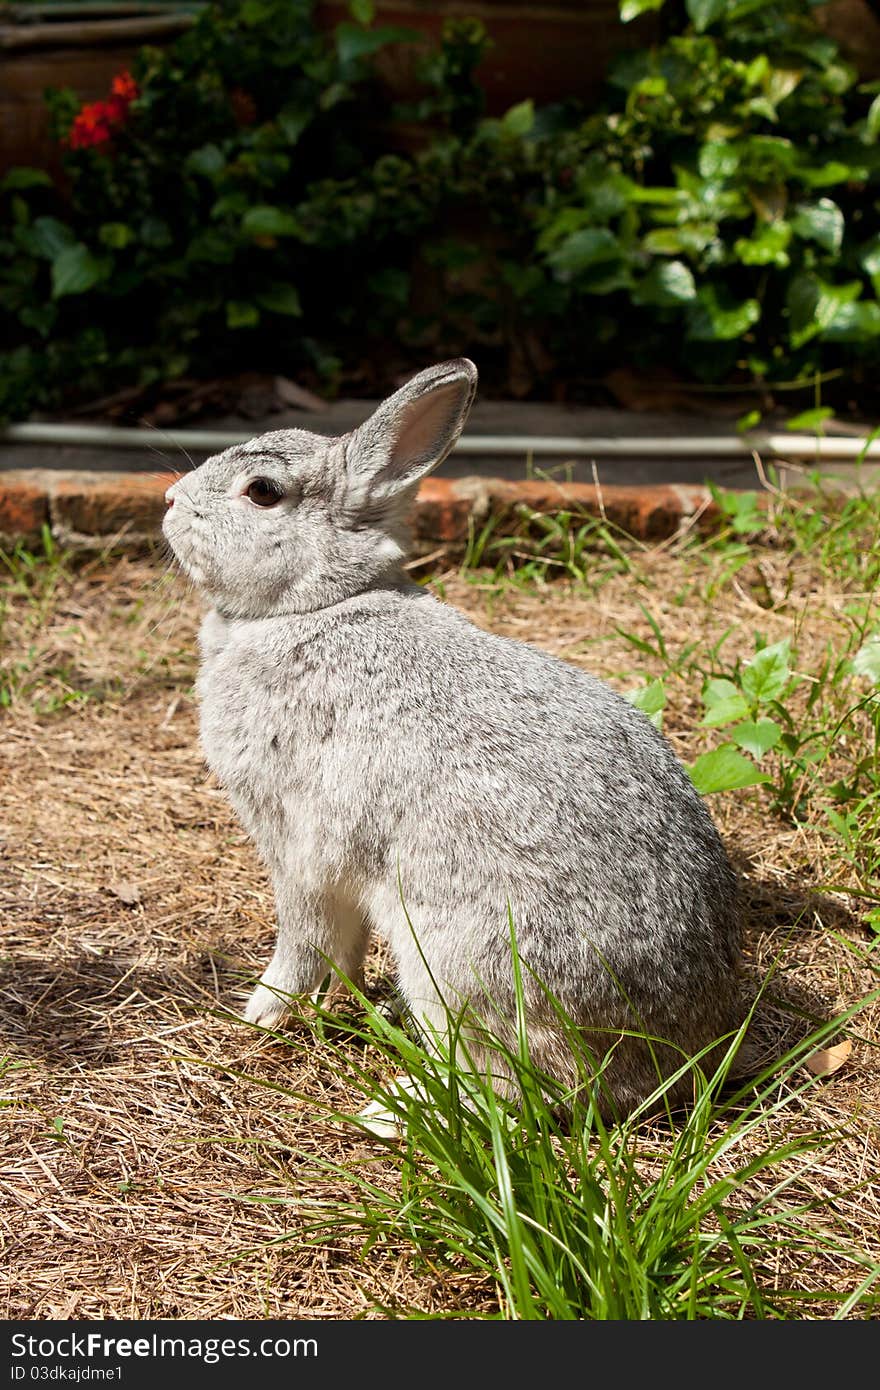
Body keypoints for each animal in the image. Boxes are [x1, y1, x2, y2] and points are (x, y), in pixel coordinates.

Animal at [161, 361, 745, 1128]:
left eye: (262, 492)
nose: (168, 502)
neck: (316, 606)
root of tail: (671, 1058)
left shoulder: (297, 844)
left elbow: (304, 936)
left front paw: (263, 1011)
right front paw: (340, 1004)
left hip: (458, 966)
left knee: (519, 1089)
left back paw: (392, 1111)